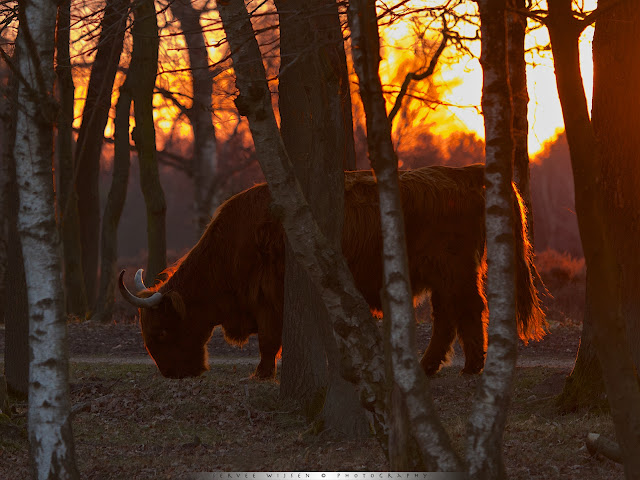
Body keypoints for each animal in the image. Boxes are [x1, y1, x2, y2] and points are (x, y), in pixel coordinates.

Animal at [119, 164, 544, 378]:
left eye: (160, 332)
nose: (172, 373)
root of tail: (466, 172)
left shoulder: (272, 297)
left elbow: (270, 339)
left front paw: (262, 372)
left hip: (454, 268)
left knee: (469, 309)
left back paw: (471, 366)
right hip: (443, 275)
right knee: (449, 315)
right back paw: (432, 366)